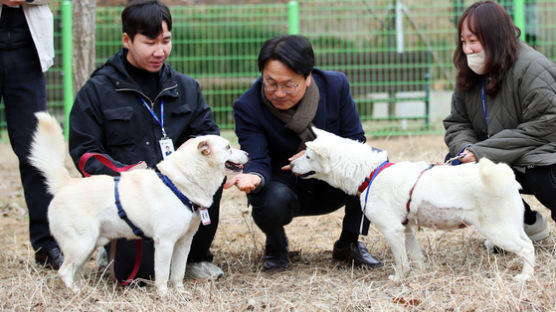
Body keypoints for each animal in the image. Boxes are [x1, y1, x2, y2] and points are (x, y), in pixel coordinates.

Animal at [27, 111, 249, 294]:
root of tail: (66, 184)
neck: (177, 184)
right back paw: (76, 293)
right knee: (64, 272)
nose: (247, 153)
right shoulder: (165, 243)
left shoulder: (183, 243)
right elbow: (162, 276)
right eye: (228, 147)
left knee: (76, 271)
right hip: (81, 244)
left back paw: (83, 290)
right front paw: (165, 296)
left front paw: (180, 294)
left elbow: (177, 274)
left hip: (88, 244)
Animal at [292, 128, 536, 282]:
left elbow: (401, 261)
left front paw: (399, 279)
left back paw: (525, 277)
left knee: (527, 248)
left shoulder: (392, 230)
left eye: (307, 156)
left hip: (497, 231)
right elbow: (416, 256)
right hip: (509, 227)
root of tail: (505, 177)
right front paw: (420, 274)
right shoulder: (405, 228)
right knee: (528, 244)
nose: (290, 165)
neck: (370, 173)